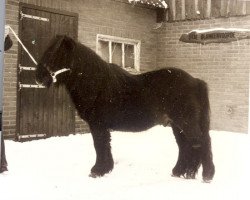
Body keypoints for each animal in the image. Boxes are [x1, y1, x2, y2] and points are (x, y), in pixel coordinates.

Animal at [35, 35, 215, 182]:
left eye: (56, 54)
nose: (38, 77)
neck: (96, 84)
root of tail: (196, 81)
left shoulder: (98, 125)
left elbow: (99, 145)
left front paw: (97, 171)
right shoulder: (100, 126)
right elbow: (104, 146)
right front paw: (104, 169)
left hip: (185, 122)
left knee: (201, 142)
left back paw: (206, 176)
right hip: (177, 125)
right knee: (186, 146)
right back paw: (181, 172)